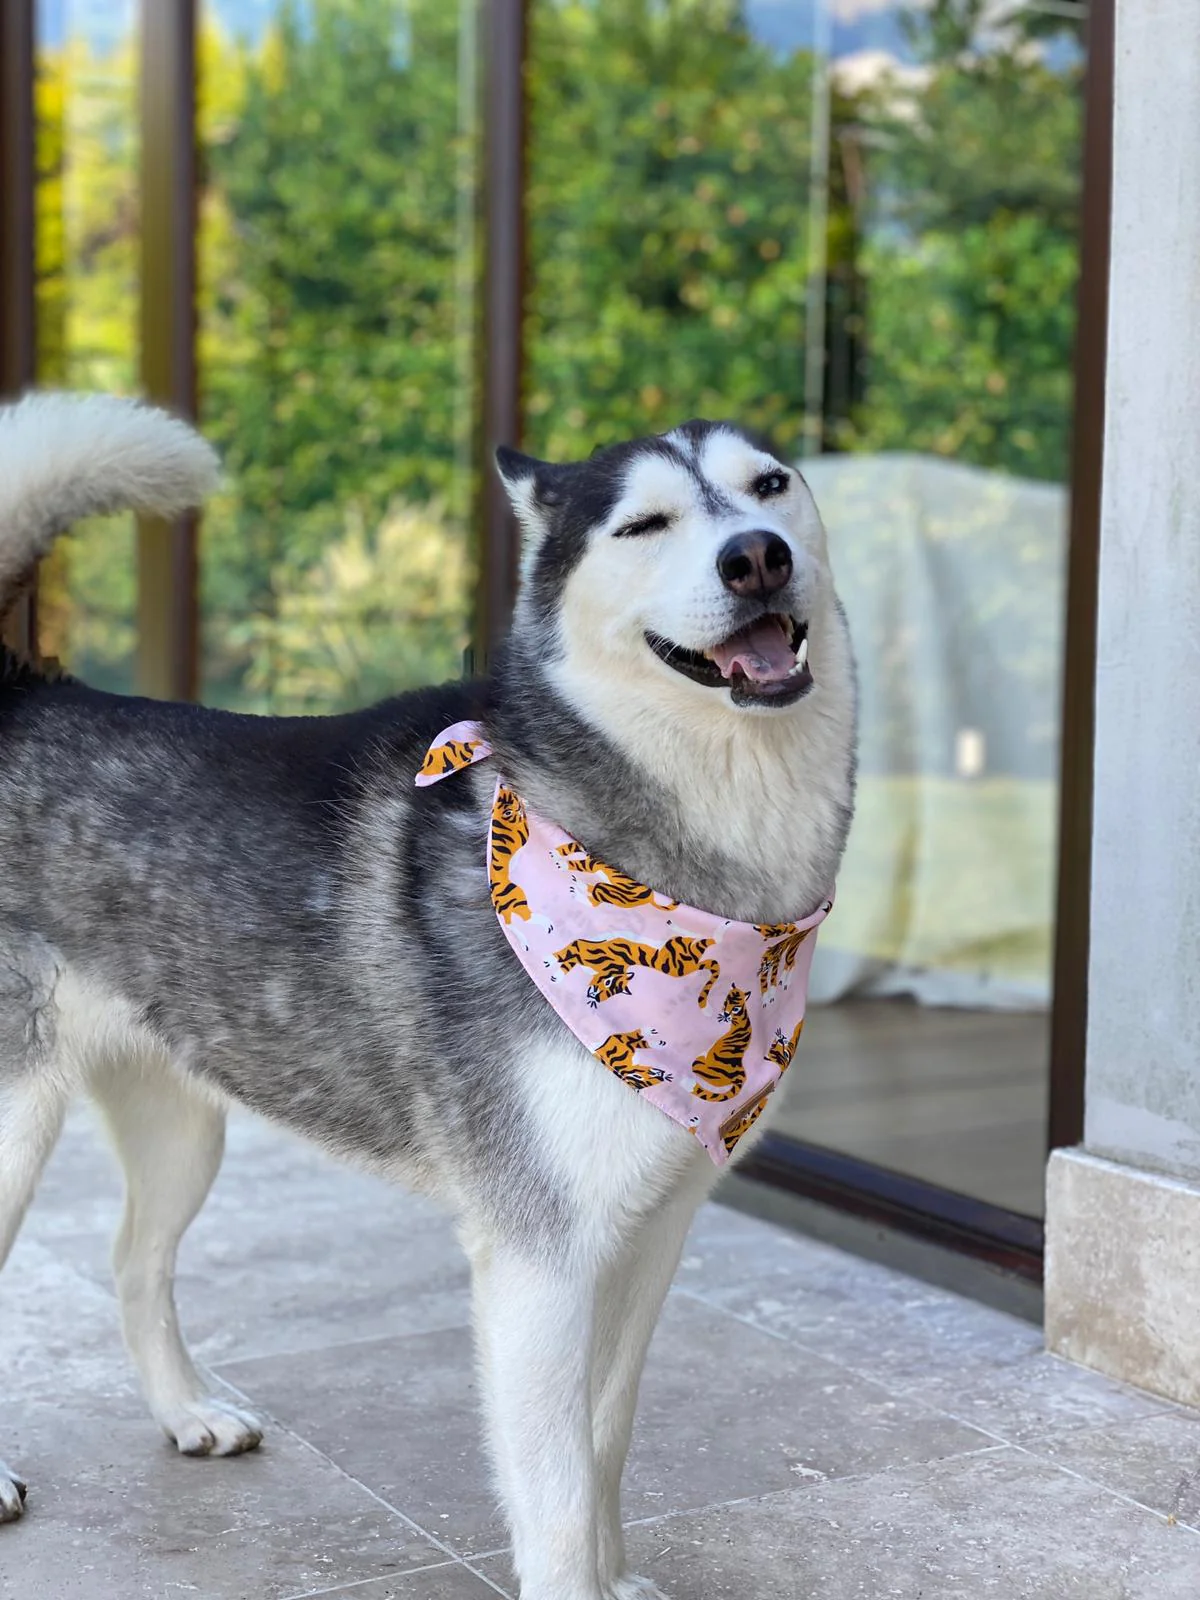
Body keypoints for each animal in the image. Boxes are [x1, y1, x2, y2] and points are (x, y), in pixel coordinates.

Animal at [554, 934, 720, 1009]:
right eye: (607, 982)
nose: (594, 996)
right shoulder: (584, 948)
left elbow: (568, 960)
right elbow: (566, 956)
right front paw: (553, 963)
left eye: (611, 995)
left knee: (704, 942)